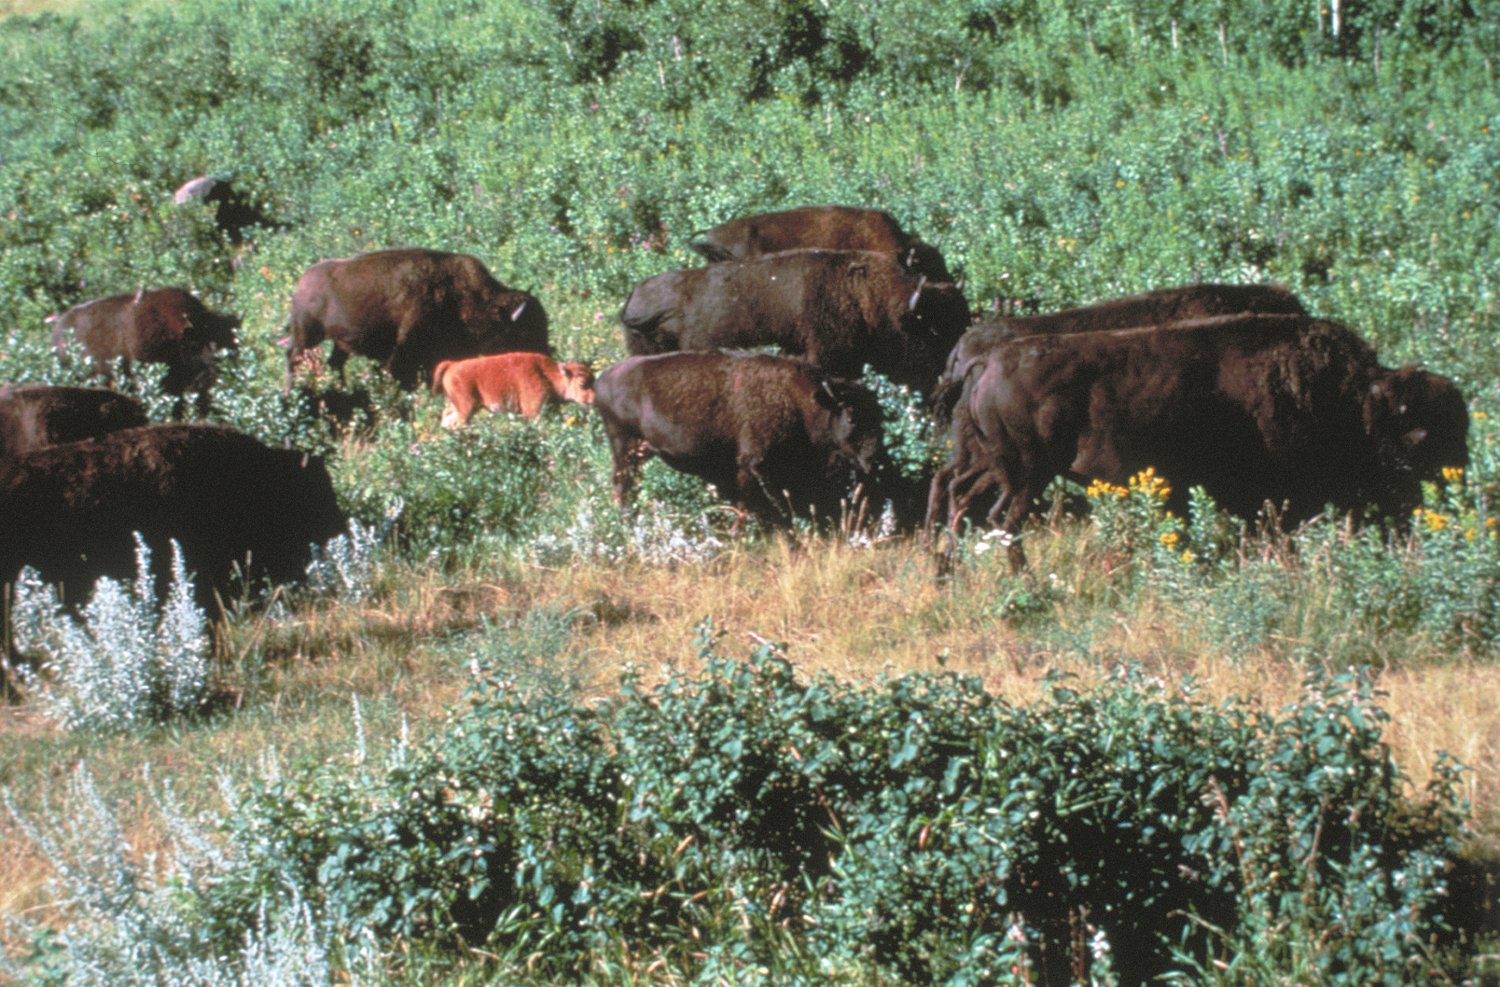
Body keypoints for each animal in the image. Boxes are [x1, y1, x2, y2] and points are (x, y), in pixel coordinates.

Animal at [286, 248, 549, 391]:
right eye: (524, 332)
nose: (545, 355)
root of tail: (300, 285)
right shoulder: (404, 349)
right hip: (307, 335)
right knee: (293, 357)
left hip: (340, 344)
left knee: (334, 363)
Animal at [594, 351, 888, 524]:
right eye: (851, 417)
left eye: (880, 415)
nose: (874, 461)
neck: (802, 402)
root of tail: (602, 378)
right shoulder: (754, 465)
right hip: (624, 447)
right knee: (621, 484)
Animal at [930, 313, 1468, 568]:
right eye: (1421, 436)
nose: (1454, 477)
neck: (1350, 398)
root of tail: (985, 363)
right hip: (1026, 474)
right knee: (1002, 520)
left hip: (995, 465)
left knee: (960, 498)